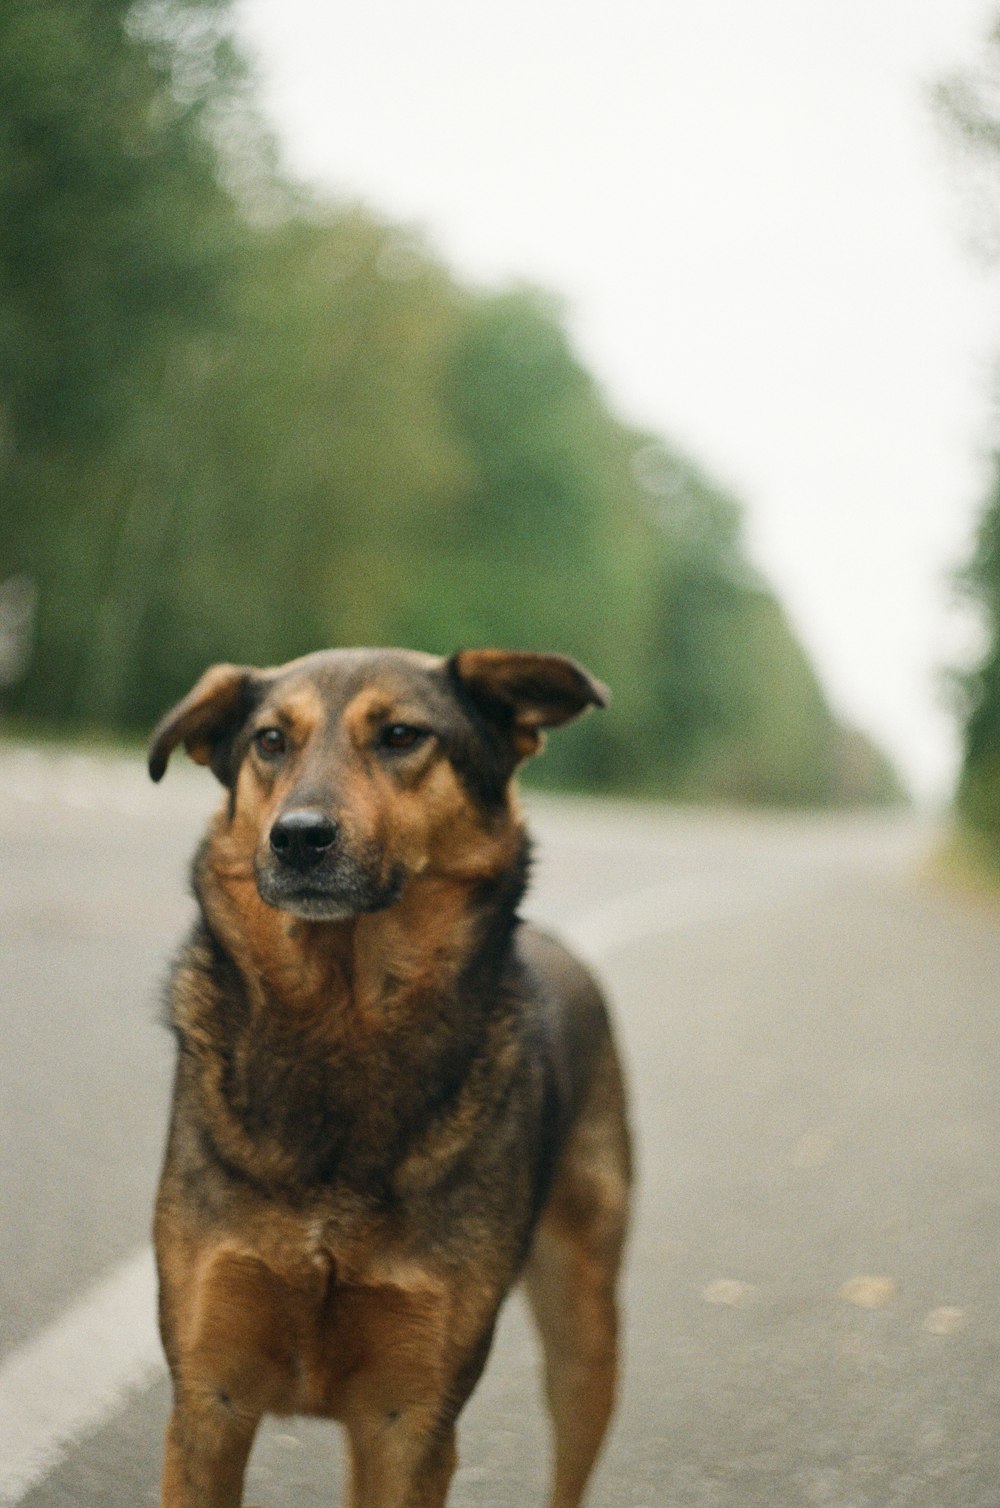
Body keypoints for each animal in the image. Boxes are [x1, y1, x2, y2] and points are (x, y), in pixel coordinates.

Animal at [147, 648, 633, 1508]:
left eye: (402, 736)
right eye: (270, 740)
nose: (297, 839)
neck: (342, 1018)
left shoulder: (411, 1418)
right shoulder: (209, 1402)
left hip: (585, 1329)